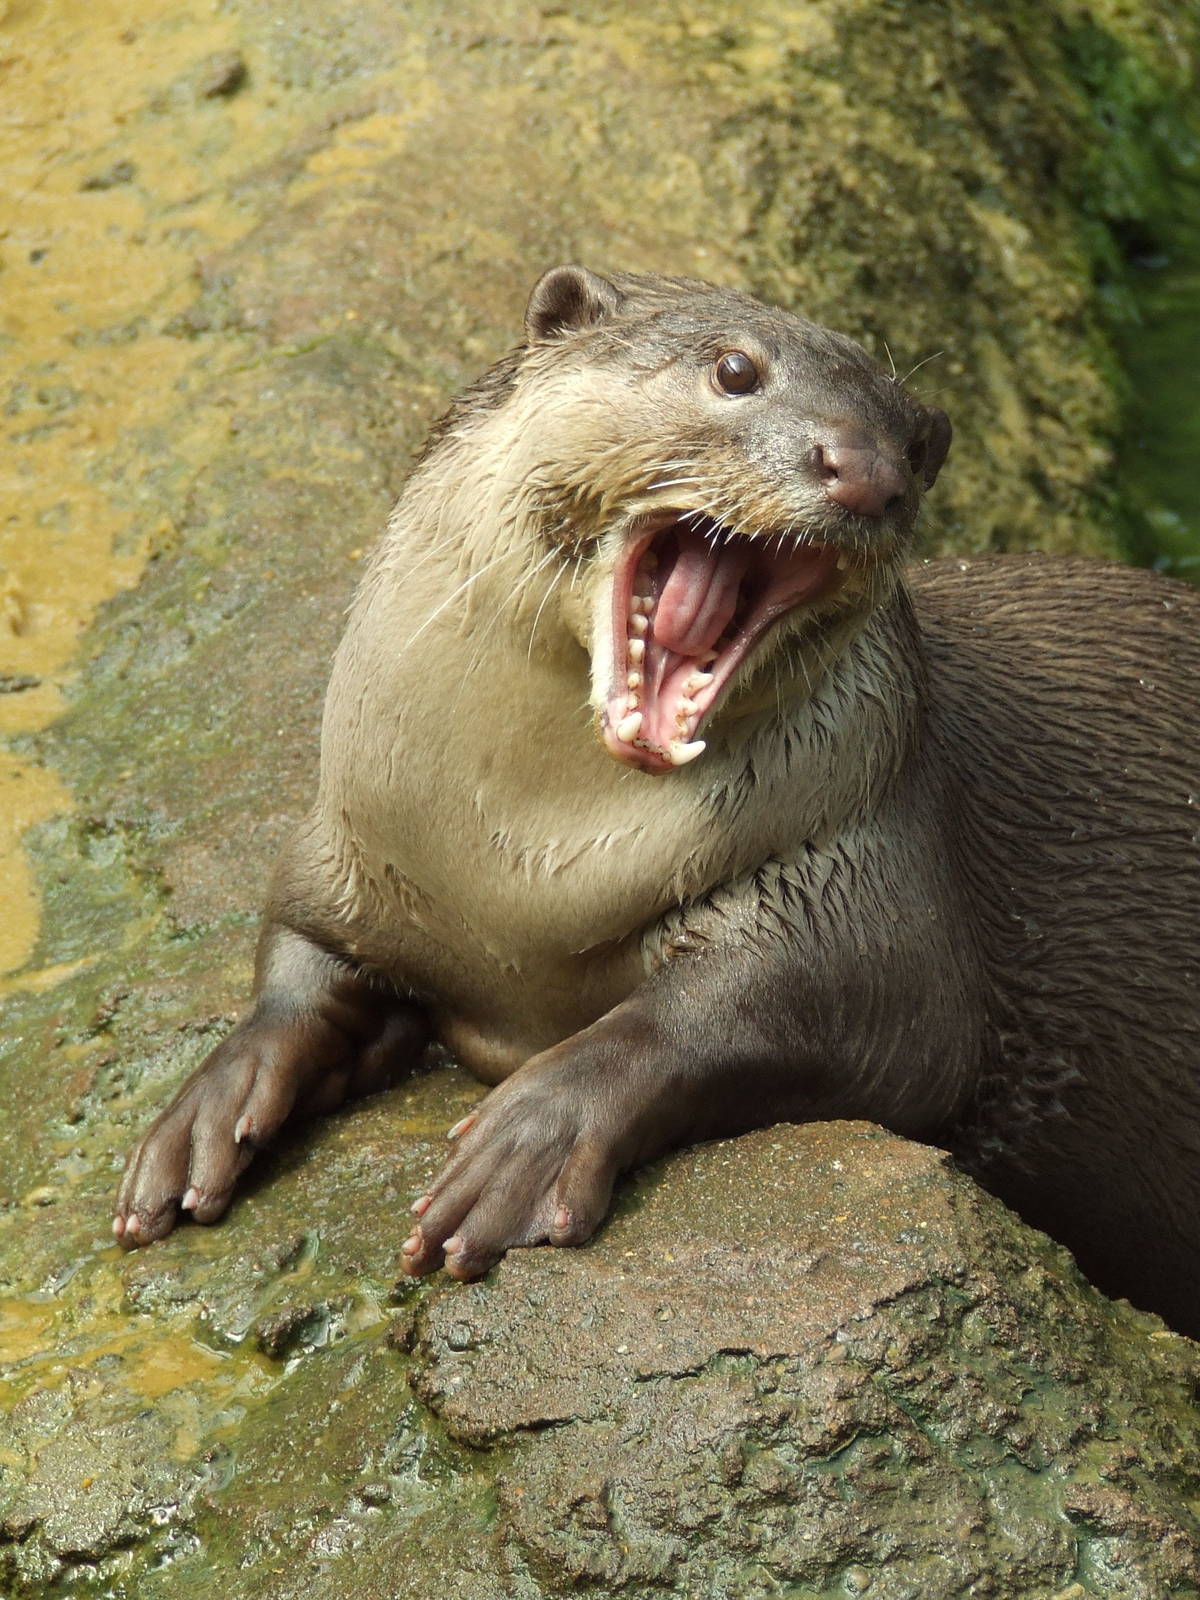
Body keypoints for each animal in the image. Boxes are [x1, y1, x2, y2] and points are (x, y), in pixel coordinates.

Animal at [114, 266, 1200, 1336]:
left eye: (919, 446)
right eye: (734, 370)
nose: (866, 471)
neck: (519, 872)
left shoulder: (864, 872)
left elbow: (749, 1016)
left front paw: (528, 1139)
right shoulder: (350, 851)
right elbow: (295, 959)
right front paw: (207, 1110)